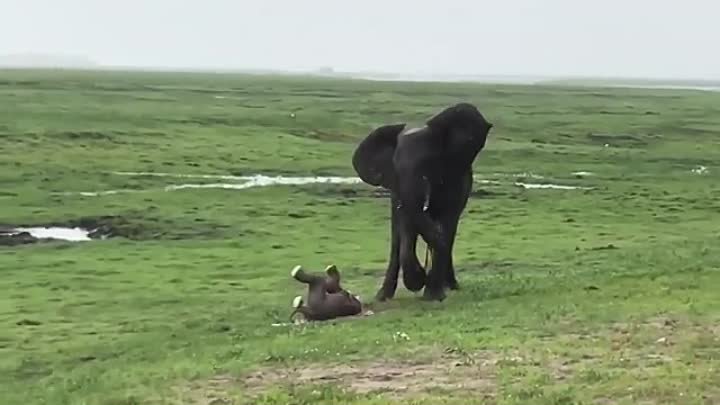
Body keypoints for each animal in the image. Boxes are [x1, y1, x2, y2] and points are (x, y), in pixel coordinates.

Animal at [350, 102, 496, 302]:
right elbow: (404, 224)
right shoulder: (397, 185)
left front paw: (432, 295)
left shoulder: (454, 180)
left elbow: (444, 221)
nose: (423, 275)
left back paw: (450, 285)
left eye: (427, 162)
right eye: (395, 165)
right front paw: (417, 282)